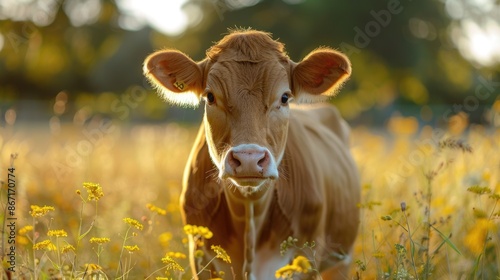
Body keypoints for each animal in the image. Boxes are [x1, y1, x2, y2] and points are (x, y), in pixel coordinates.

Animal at [144, 29, 360, 278]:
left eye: (284, 97)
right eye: (210, 96)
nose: (249, 159)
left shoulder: (307, 258)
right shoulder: (199, 256)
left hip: (341, 260)